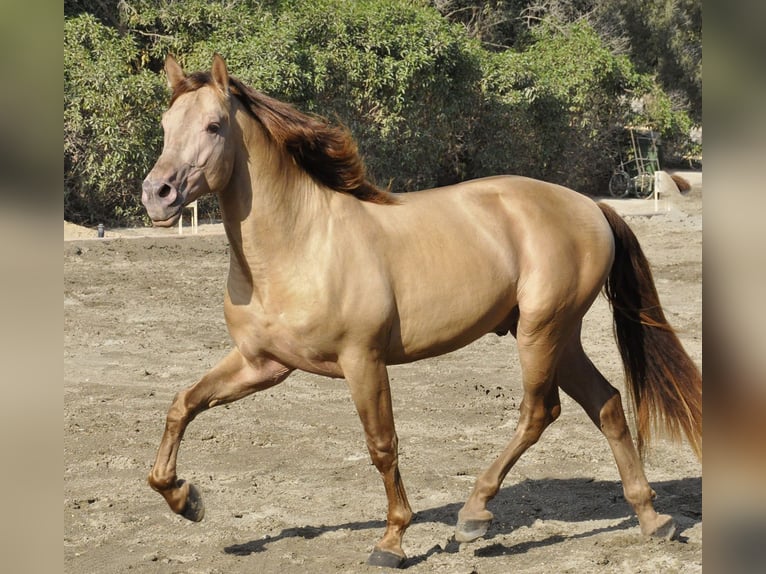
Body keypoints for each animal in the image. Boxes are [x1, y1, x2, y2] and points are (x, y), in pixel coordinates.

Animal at [141, 54, 701, 568]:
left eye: (214, 126)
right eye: (165, 125)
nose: (157, 195)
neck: (300, 244)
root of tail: (591, 207)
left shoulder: (363, 361)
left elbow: (382, 445)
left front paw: (391, 541)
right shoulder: (262, 364)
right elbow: (183, 404)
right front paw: (185, 499)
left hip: (542, 332)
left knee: (540, 412)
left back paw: (474, 515)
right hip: (559, 336)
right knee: (606, 404)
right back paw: (652, 518)